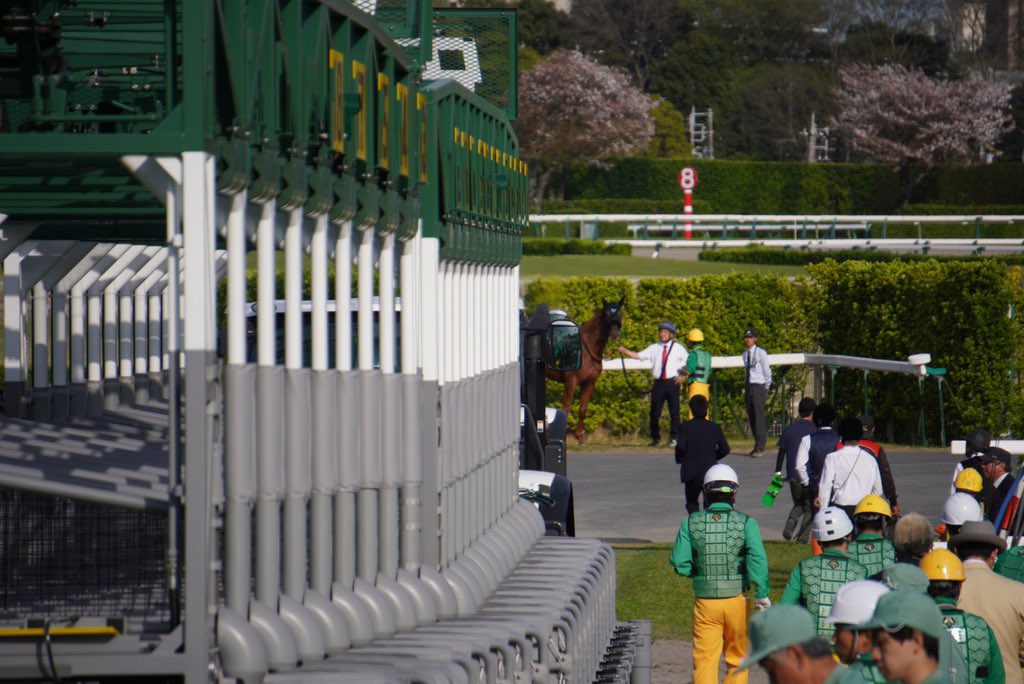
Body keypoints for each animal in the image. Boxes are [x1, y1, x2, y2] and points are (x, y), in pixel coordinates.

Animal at [544, 301, 622, 444]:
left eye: (620, 313)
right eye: (607, 314)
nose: (615, 334)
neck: (585, 350)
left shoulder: (589, 383)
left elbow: (582, 409)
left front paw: (580, 437)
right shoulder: (571, 382)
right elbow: (566, 408)